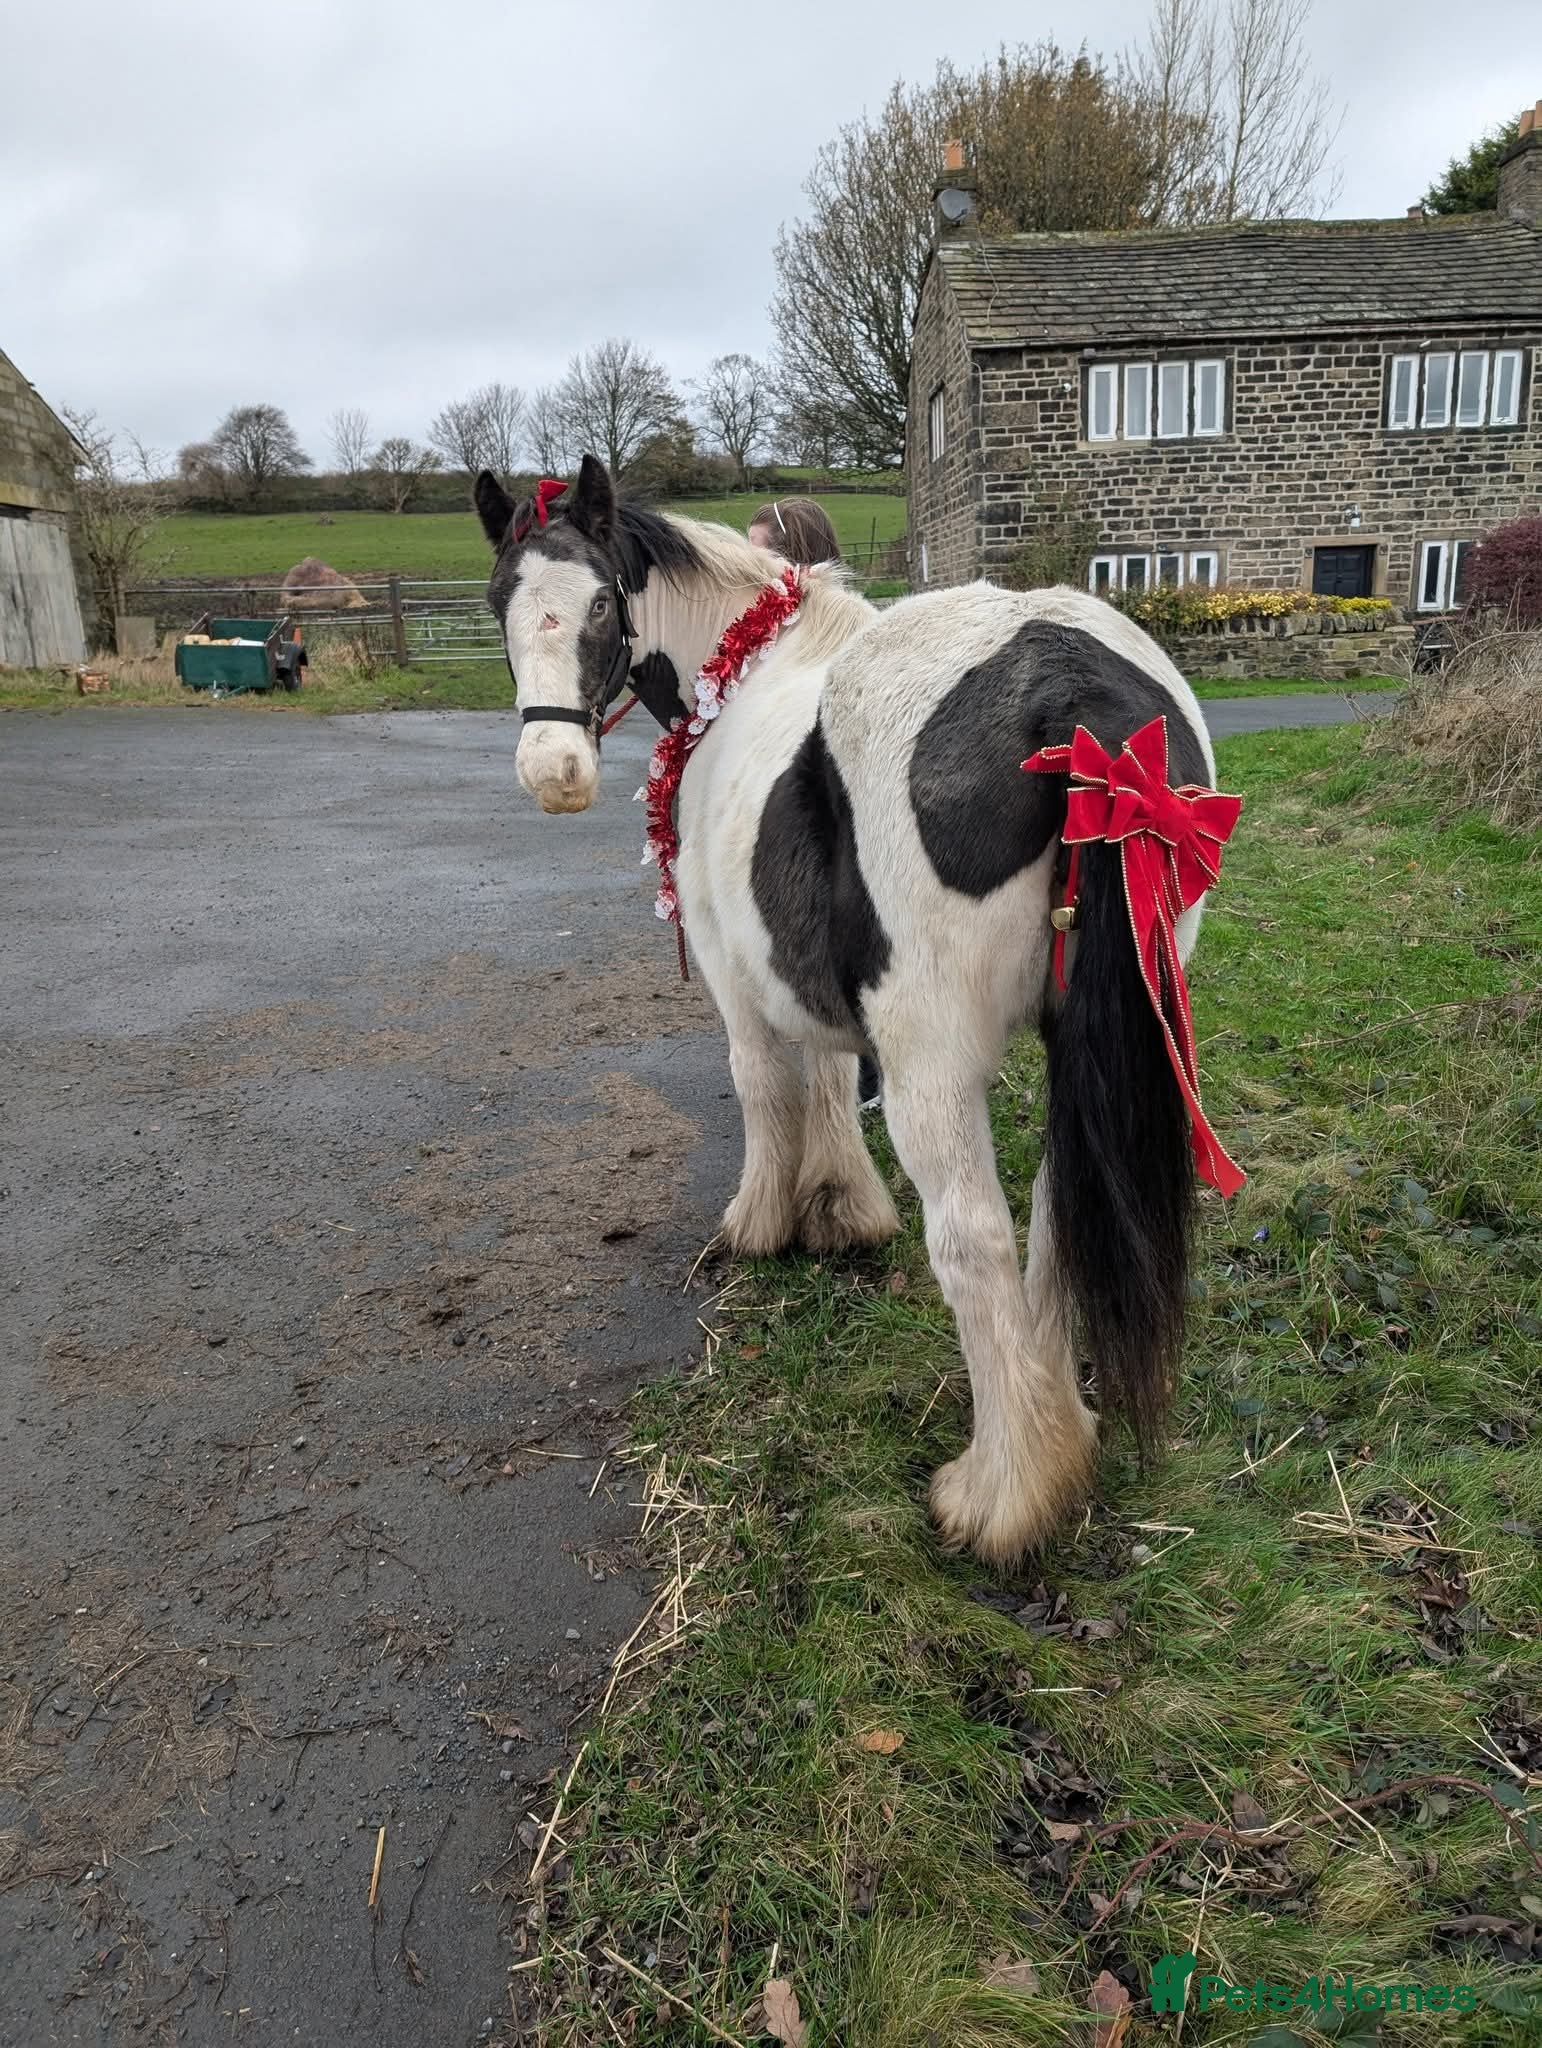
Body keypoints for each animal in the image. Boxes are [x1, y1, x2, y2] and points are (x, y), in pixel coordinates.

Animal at [474, 455, 1239, 1564]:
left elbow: (765, 1086)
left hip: (933, 1060)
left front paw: (765, 1221)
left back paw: (1004, 1493)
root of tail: (1074, 689)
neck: (747, 670)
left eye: (601, 602)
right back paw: (1057, 1425)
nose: (554, 774)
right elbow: (832, 1073)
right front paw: (842, 1208)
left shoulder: (736, 972)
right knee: (1056, 1211)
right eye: (500, 599)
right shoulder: (817, 980)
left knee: (975, 1239)